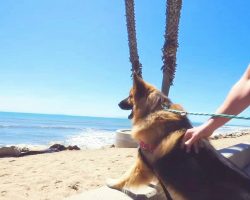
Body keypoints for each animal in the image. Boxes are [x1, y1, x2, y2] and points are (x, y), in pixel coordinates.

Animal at [108, 73, 250, 200]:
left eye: (130, 96)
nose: (118, 104)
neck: (155, 110)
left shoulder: (142, 162)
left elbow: (127, 176)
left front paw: (112, 183)